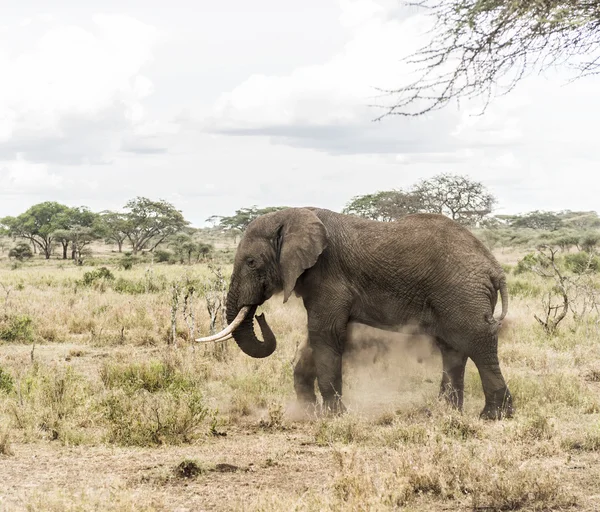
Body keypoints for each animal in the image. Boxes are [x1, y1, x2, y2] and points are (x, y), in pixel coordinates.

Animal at [198, 208, 516, 420]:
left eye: (251, 262)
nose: (260, 316)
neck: (294, 215)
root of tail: (494, 267)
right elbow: (315, 338)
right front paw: (307, 412)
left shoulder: (328, 276)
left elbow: (324, 334)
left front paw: (334, 415)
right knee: (452, 348)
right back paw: (444, 411)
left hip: (463, 292)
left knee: (477, 342)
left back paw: (493, 416)